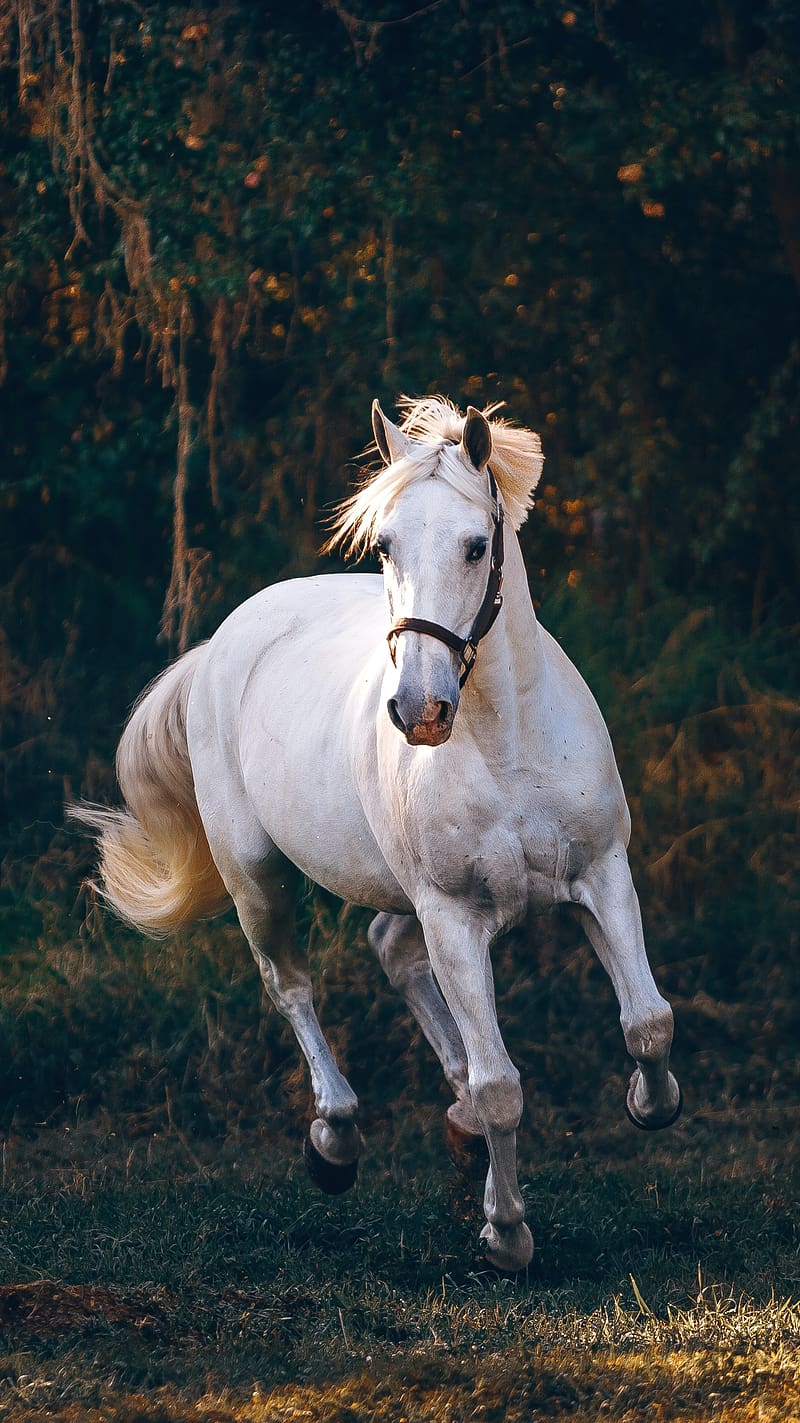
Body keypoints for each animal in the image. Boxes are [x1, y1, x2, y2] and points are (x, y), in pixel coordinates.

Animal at [72, 395, 681, 1272]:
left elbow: (648, 1022)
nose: (418, 710)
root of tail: (225, 641)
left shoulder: (601, 875)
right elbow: (502, 1085)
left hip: (400, 892)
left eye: (476, 545)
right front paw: (507, 1232)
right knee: (292, 985)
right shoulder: (455, 915)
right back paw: (335, 1139)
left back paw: (454, 1122)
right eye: (386, 544)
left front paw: (644, 1102)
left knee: (389, 949)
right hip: (257, 876)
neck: (507, 743)